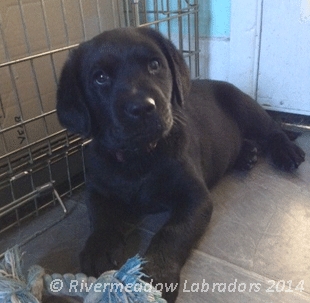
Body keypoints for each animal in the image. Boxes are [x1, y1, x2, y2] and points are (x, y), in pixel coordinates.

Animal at [56, 27, 306, 302]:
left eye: (155, 65)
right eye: (100, 78)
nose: (142, 108)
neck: (139, 156)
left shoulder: (195, 197)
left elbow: (171, 233)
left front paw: (155, 276)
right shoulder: (97, 189)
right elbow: (100, 217)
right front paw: (98, 250)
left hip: (245, 106)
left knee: (273, 130)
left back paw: (287, 152)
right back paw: (247, 154)